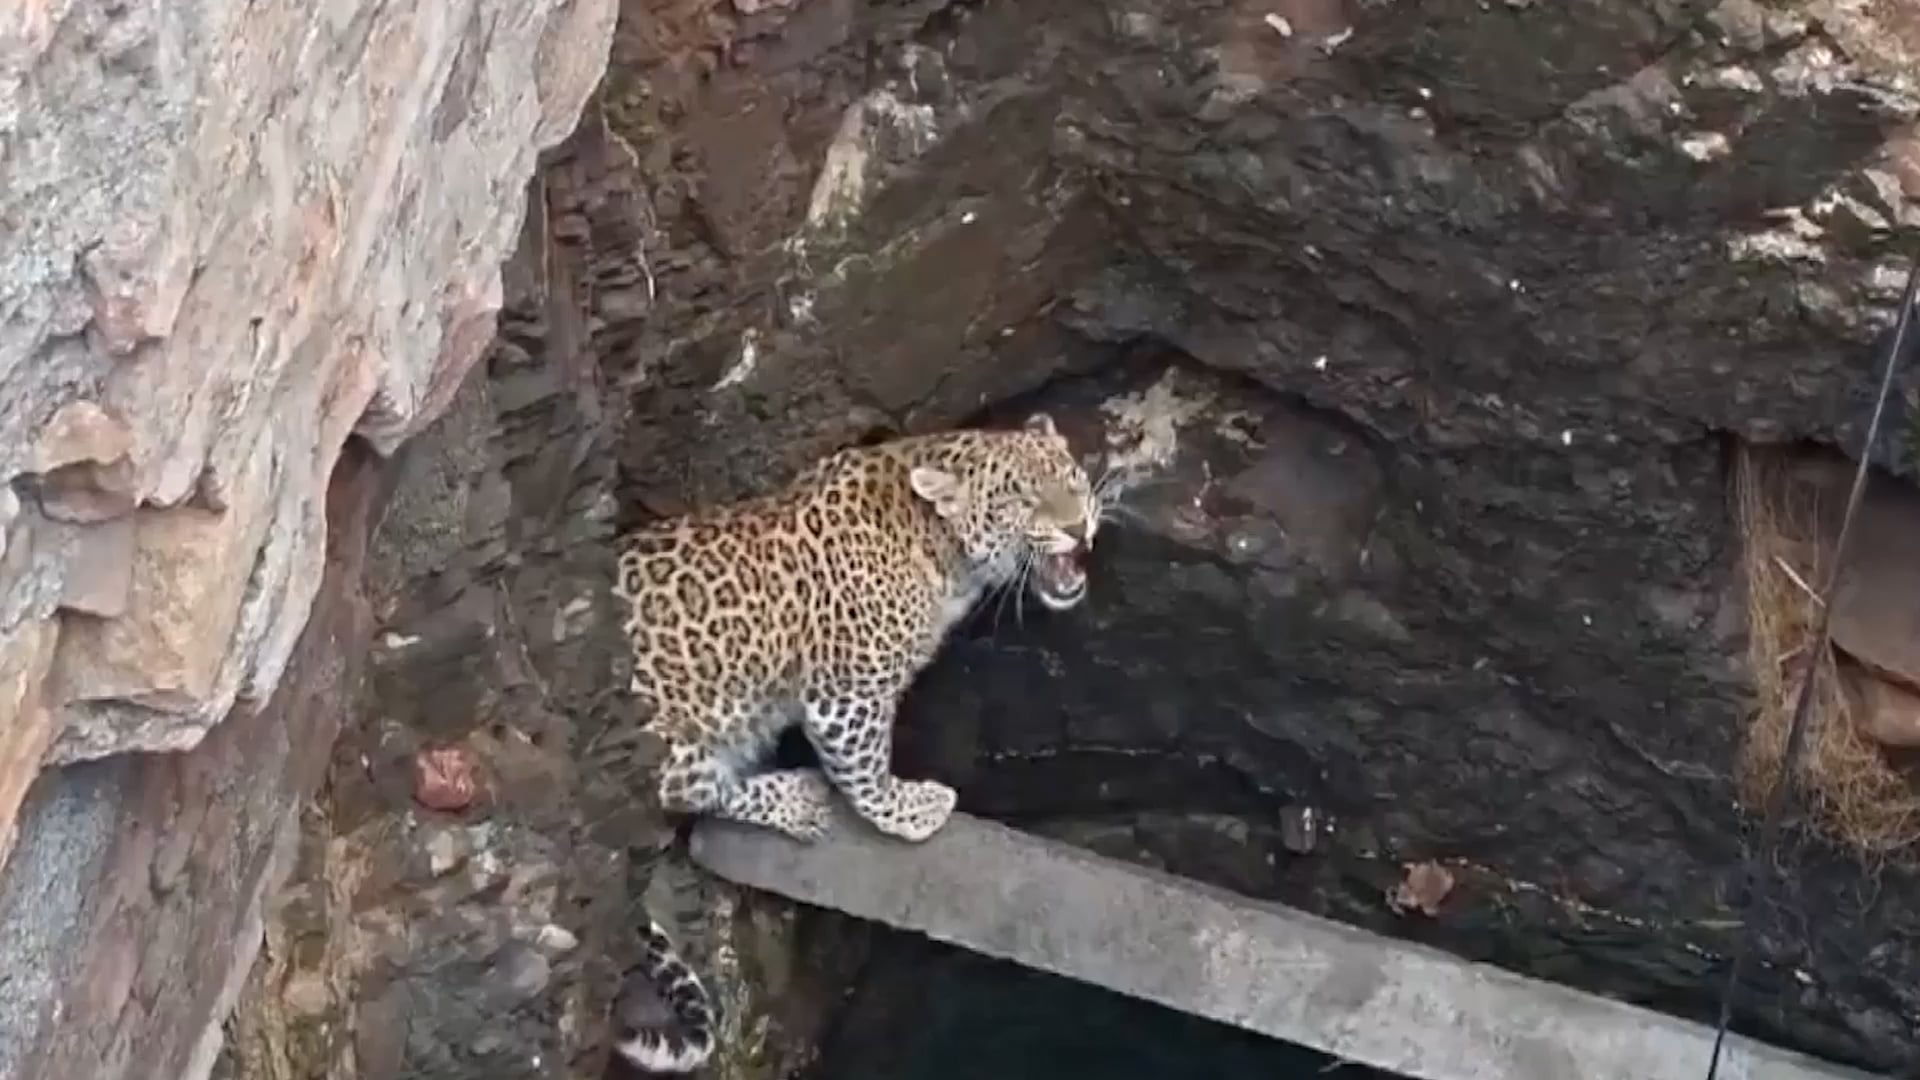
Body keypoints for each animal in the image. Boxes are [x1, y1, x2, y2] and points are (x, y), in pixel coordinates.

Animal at [607, 413, 1102, 1073]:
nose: (1077, 526)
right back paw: (795, 797)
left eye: (1072, 477)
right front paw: (910, 811)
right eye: (1021, 499)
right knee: (694, 789)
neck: (939, 548)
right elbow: (864, 771)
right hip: (670, 738)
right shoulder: (847, 692)